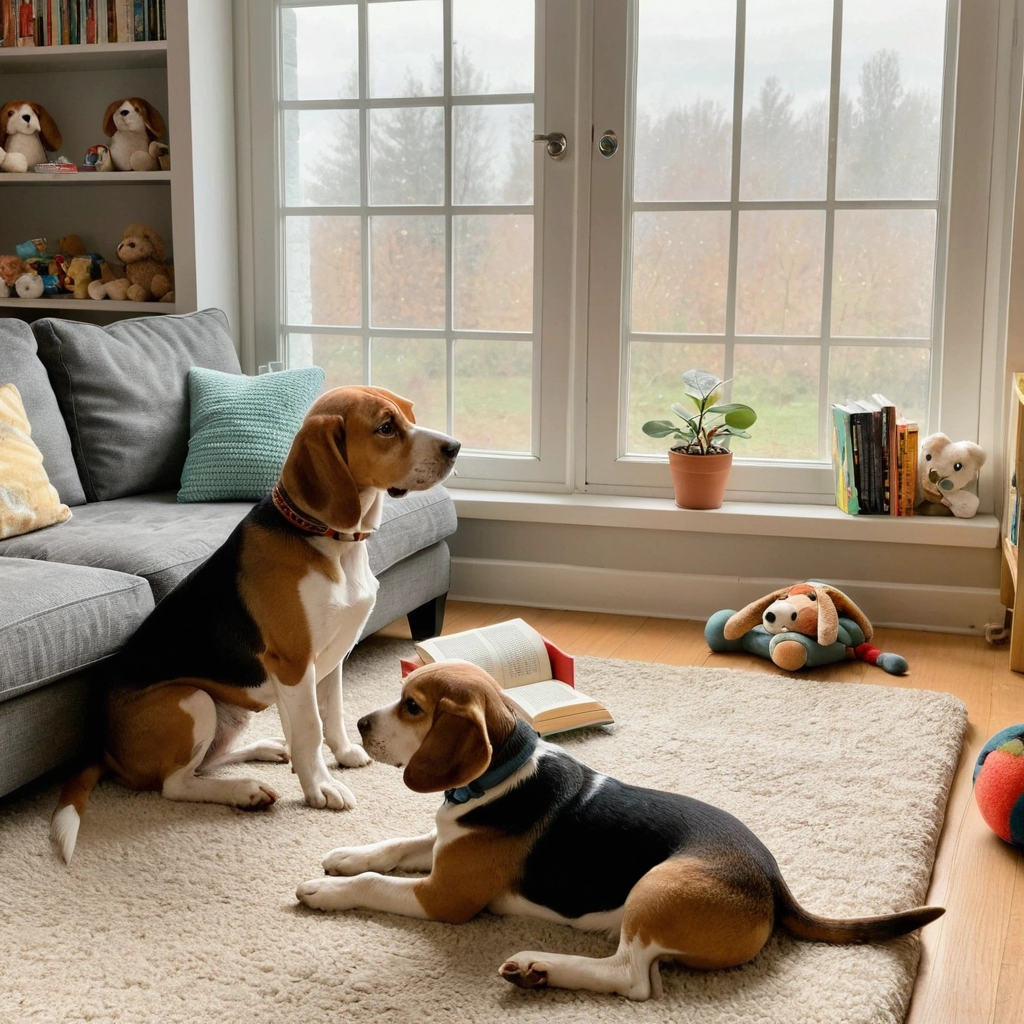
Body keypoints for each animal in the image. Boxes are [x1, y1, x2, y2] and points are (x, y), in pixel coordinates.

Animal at [50, 385, 460, 864]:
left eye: (410, 413)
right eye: (385, 428)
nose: (454, 448)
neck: (330, 541)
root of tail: (107, 750)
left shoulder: (333, 658)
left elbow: (333, 713)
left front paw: (343, 754)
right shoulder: (293, 663)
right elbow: (310, 728)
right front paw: (321, 788)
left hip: (229, 713)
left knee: (209, 761)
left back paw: (265, 750)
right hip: (192, 701)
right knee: (175, 785)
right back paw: (244, 791)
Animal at [296, 659, 942, 1003]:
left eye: (412, 707)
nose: (358, 722)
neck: (503, 774)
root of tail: (772, 882)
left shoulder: (444, 897)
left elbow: (379, 884)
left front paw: (326, 889)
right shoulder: (446, 845)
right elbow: (398, 845)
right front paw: (345, 854)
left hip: (655, 891)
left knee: (632, 979)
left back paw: (538, 965)